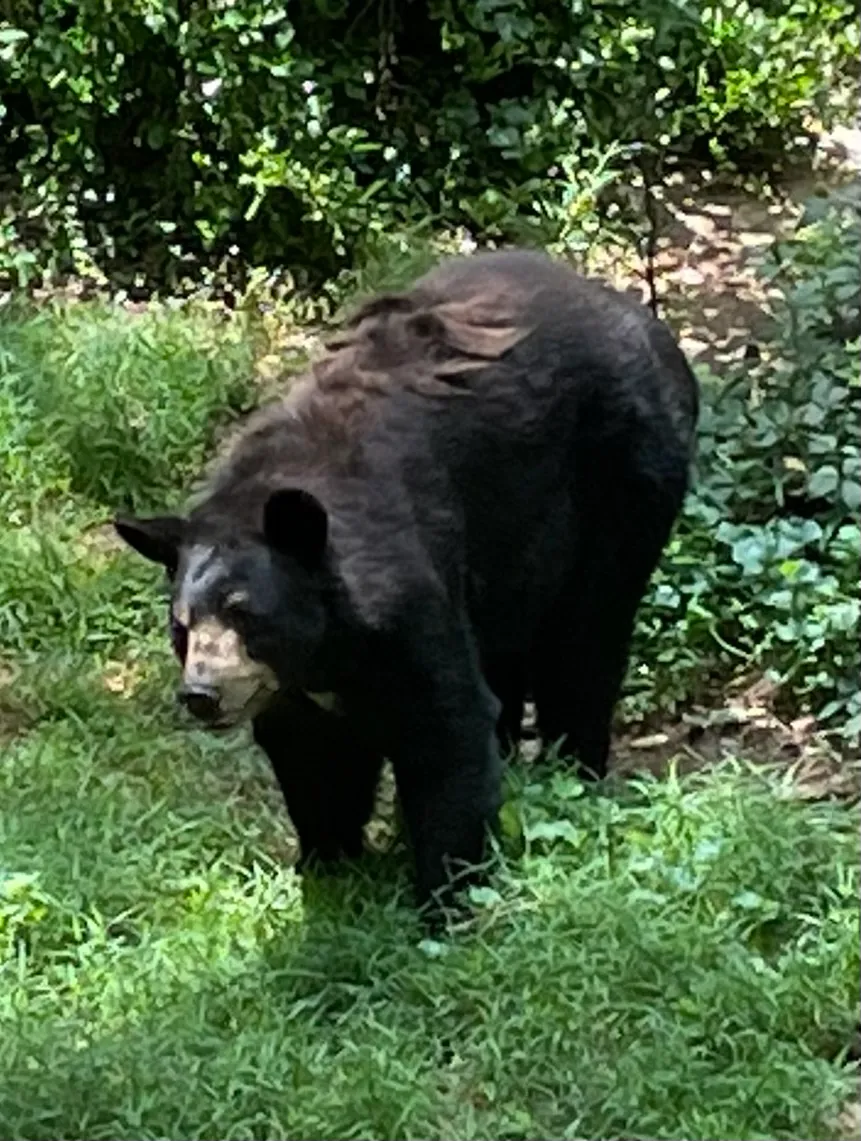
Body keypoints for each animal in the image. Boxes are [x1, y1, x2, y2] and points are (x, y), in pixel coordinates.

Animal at [114, 248, 699, 915]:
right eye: (181, 627)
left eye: (245, 613)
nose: (202, 694)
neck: (327, 645)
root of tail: (642, 319)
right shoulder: (294, 682)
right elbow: (311, 750)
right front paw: (329, 865)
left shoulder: (405, 593)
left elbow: (447, 726)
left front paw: (443, 898)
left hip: (620, 478)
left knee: (583, 644)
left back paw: (573, 768)